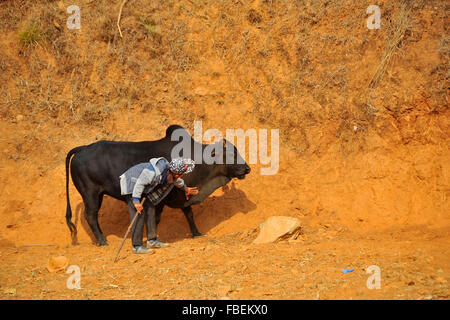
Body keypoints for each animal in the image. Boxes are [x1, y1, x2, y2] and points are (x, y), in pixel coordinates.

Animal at [65, 125, 251, 245]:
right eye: (230, 155)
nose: (247, 169)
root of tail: (83, 148)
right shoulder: (160, 199)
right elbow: (156, 218)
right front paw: (153, 238)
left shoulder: (184, 196)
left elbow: (189, 214)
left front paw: (196, 233)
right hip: (90, 194)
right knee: (91, 215)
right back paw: (102, 241)